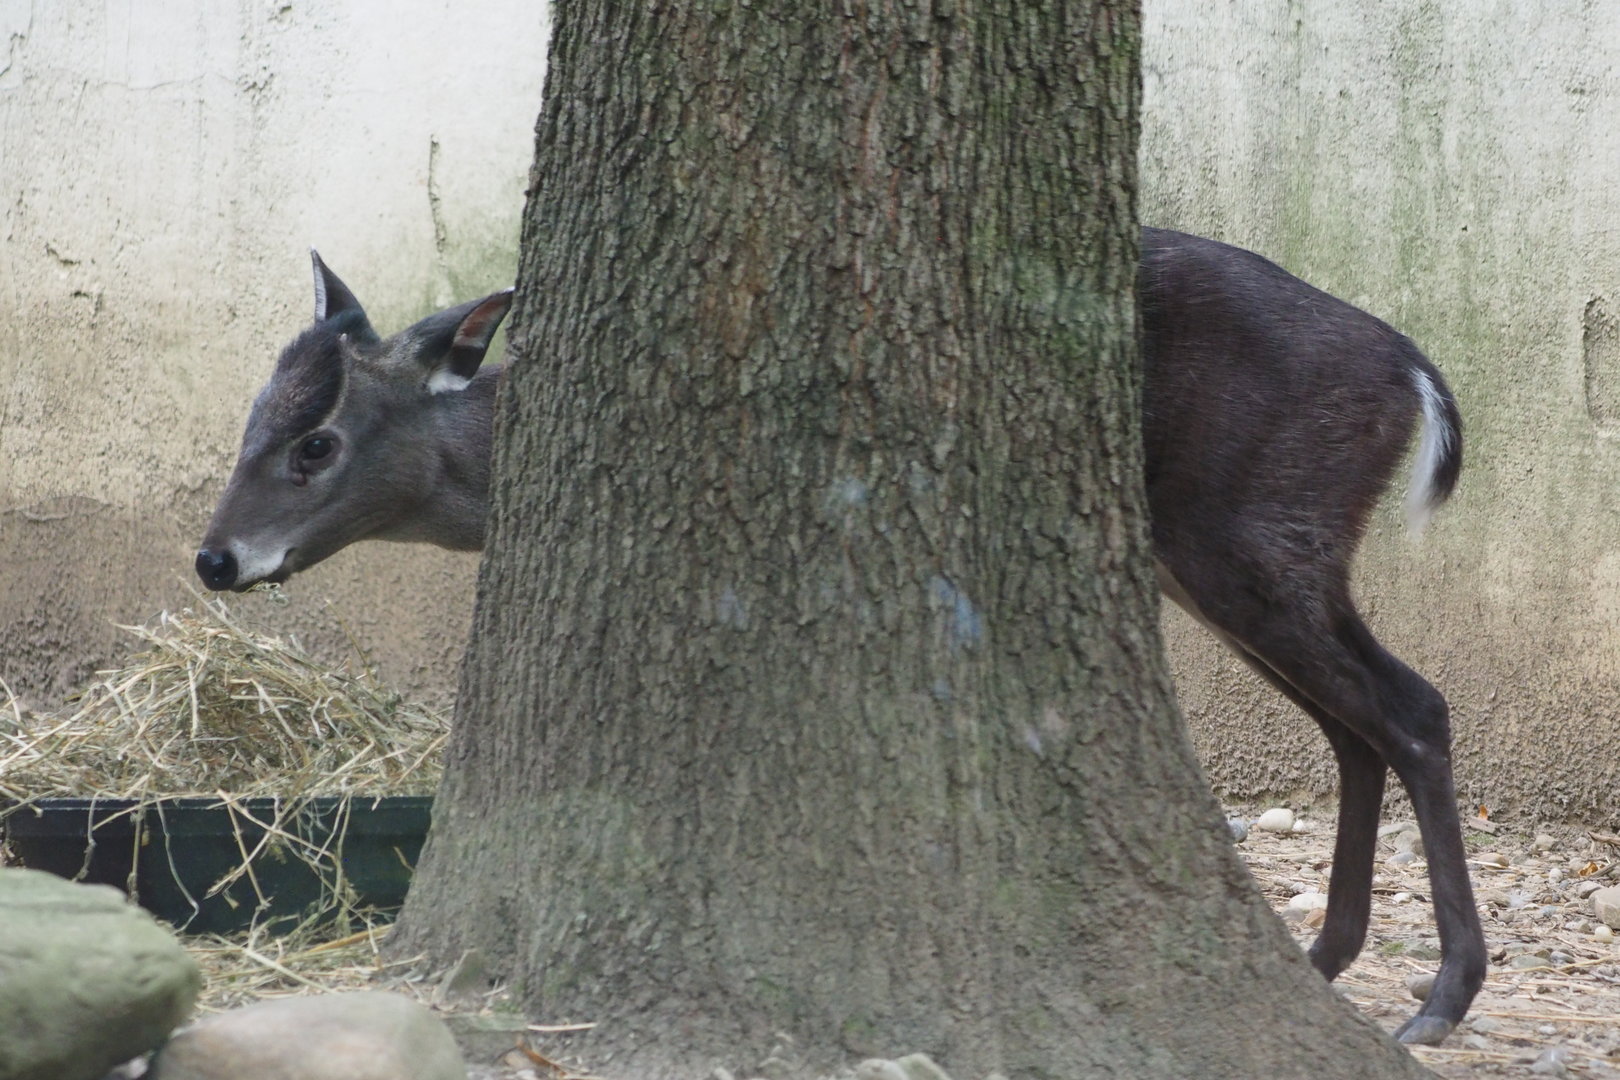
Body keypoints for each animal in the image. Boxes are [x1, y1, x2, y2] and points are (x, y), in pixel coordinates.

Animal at [196, 231, 1484, 1044]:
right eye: (252, 412)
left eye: (315, 440)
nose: (215, 559)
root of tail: (1416, 378)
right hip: (1236, 555)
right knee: (1359, 726)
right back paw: (1328, 960)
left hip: (1257, 532)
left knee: (1413, 707)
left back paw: (1437, 996)